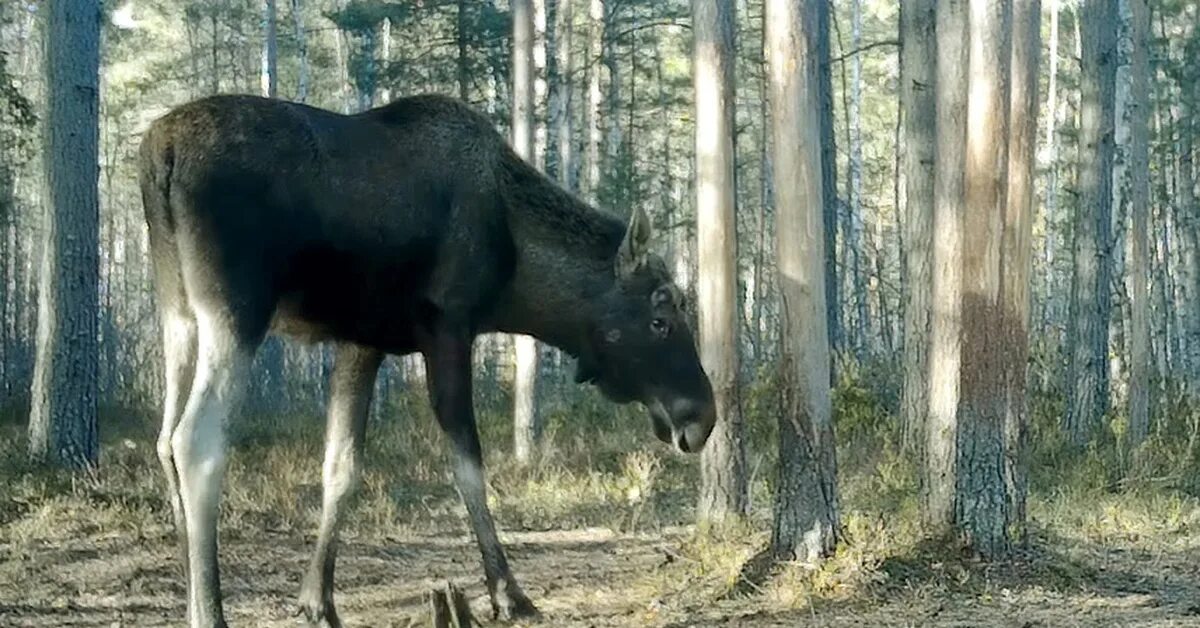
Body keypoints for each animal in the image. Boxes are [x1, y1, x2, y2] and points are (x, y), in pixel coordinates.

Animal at [136, 94, 715, 628]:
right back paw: (210, 611)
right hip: (236, 309)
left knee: (164, 439)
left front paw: (318, 600)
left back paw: (191, 594)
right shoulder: (449, 326)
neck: (517, 273)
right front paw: (507, 592)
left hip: (178, 311)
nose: (703, 417)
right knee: (197, 439)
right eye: (662, 315)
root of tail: (159, 153)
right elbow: (469, 467)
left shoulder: (361, 342)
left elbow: (340, 468)